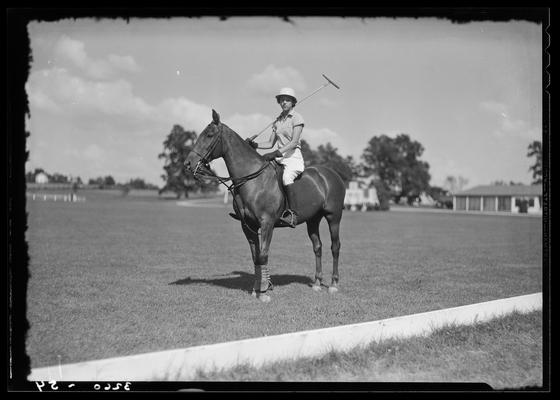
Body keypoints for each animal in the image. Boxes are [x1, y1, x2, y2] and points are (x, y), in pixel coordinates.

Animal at [184, 110, 346, 304]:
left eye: (209, 135)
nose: (188, 164)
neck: (251, 179)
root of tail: (333, 174)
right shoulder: (248, 225)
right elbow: (256, 257)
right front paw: (257, 289)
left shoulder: (267, 223)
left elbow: (263, 255)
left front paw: (264, 292)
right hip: (313, 219)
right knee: (318, 246)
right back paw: (316, 282)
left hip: (333, 216)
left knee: (335, 246)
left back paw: (334, 284)